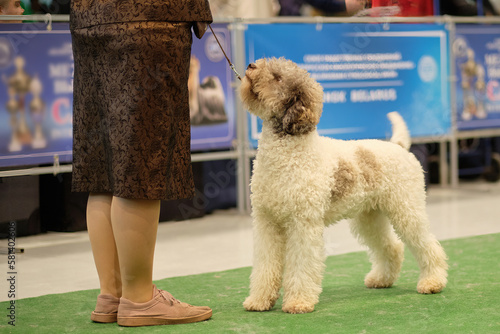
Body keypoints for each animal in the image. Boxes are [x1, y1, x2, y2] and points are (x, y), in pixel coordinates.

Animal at [240, 58, 448, 316]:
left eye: (278, 77)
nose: (250, 65)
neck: (288, 151)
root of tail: (399, 146)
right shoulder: (266, 221)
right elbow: (265, 265)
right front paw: (259, 300)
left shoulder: (303, 224)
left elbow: (301, 265)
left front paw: (298, 302)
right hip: (370, 217)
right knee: (392, 247)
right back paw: (381, 279)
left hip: (407, 210)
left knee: (427, 246)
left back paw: (433, 281)